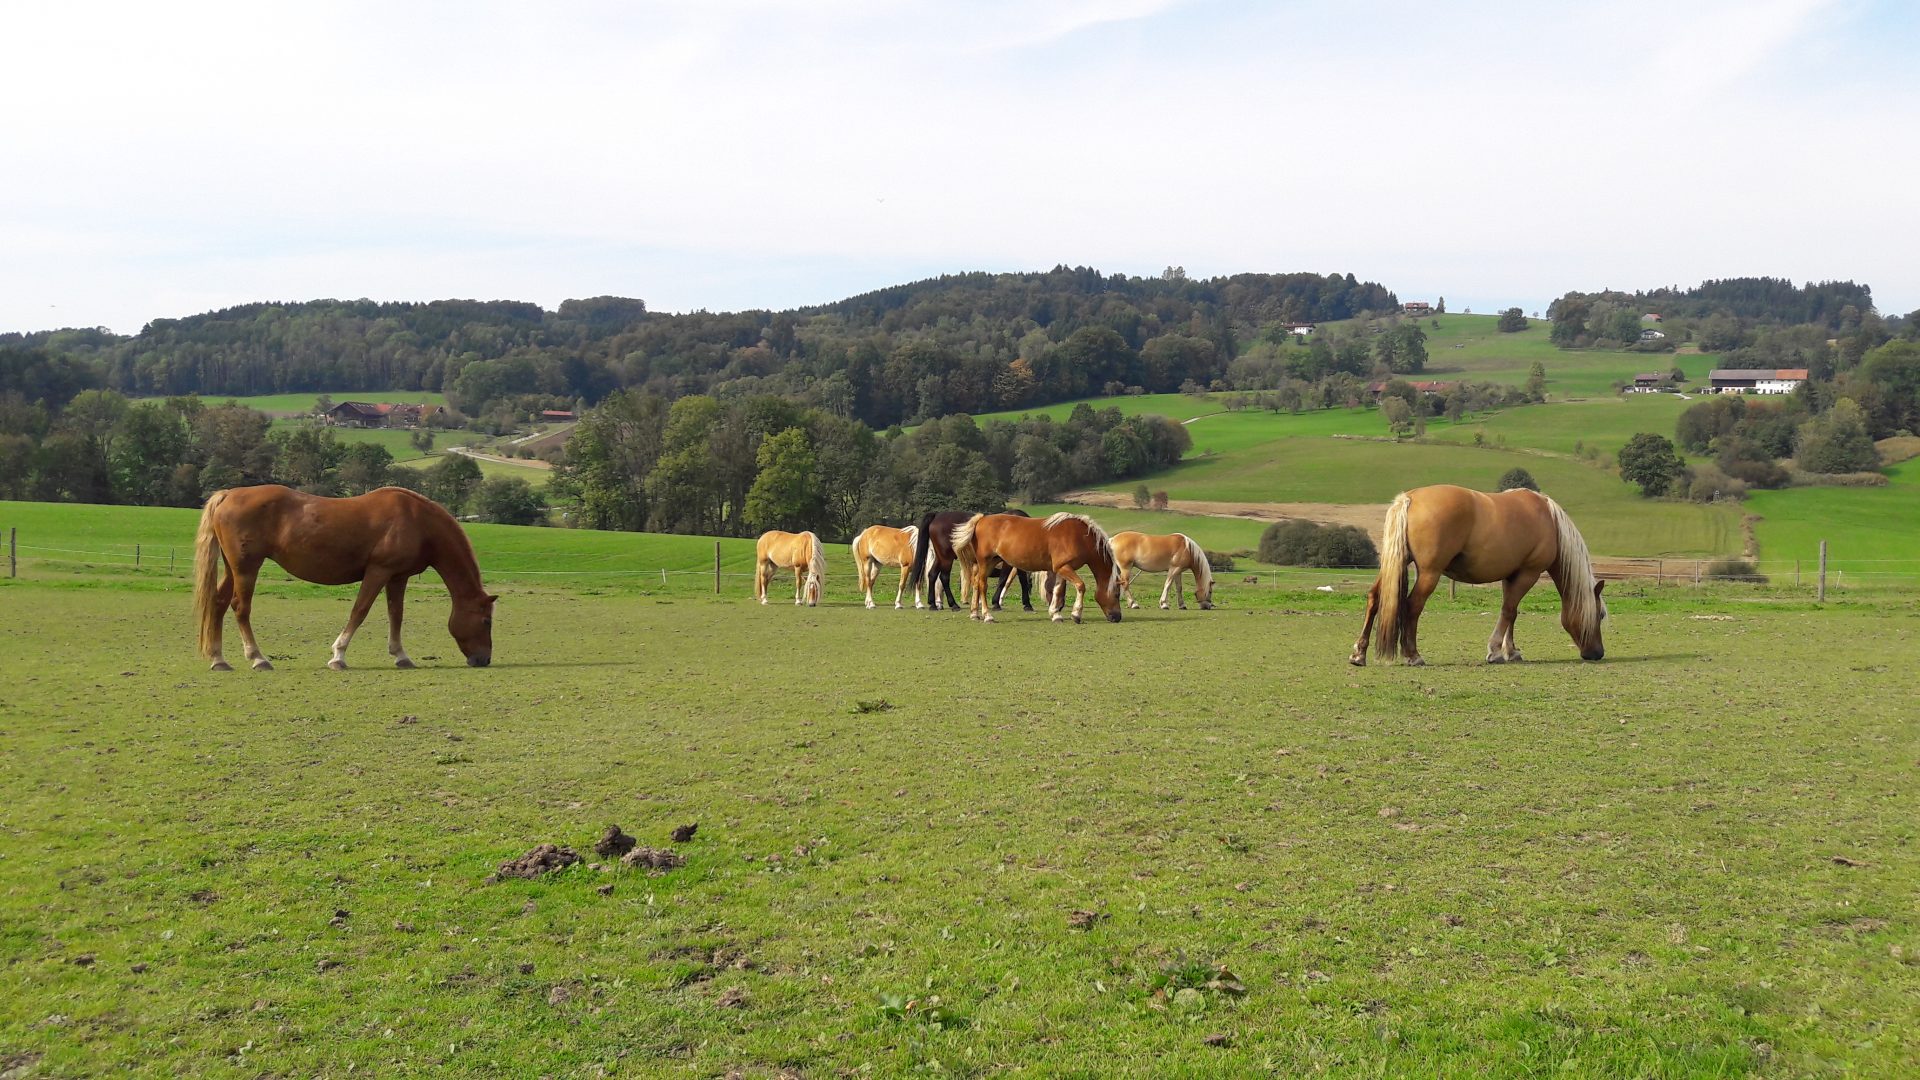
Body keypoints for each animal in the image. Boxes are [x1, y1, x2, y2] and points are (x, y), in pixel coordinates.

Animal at [191, 484, 495, 668]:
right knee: (240, 608)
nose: (483, 659)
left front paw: (401, 655)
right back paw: (258, 658)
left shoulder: (398, 577)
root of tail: (229, 494)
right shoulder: (378, 571)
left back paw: (219, 659)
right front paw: (338, 655)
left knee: (218, 604)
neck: (418, 521)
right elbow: (359, 610)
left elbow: (396, 614)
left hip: (234, 568)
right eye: (486, 621)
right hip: (247, 568)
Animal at [948, 511, 1121, 622]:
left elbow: (1058, 590)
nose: (1118, 618)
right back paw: (987, 615)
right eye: (1117, 594)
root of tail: (981, 519)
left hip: (990, 562)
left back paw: (974, 614)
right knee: (982, 585)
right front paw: (1076, 614)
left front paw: (1055, 614)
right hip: (985, 561)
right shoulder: (1065, 568)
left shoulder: (1061, 568)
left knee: (976, 583)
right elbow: (1080, 586)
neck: (1080, 536)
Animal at [1351, 480, 1605, 664]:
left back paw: (1359, 653)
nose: (1597, 653)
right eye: (1601, 615)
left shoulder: (1512, 575)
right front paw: (1495, 651)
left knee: (1375, 598)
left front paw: (1511, 651)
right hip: (1429, 573)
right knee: (1413, 606)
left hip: (1396, 564)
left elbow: (1511, 612)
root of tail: (1409, 498)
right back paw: (1413, 655)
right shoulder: (1528, 573)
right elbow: (1508, 611)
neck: (1549, 520)